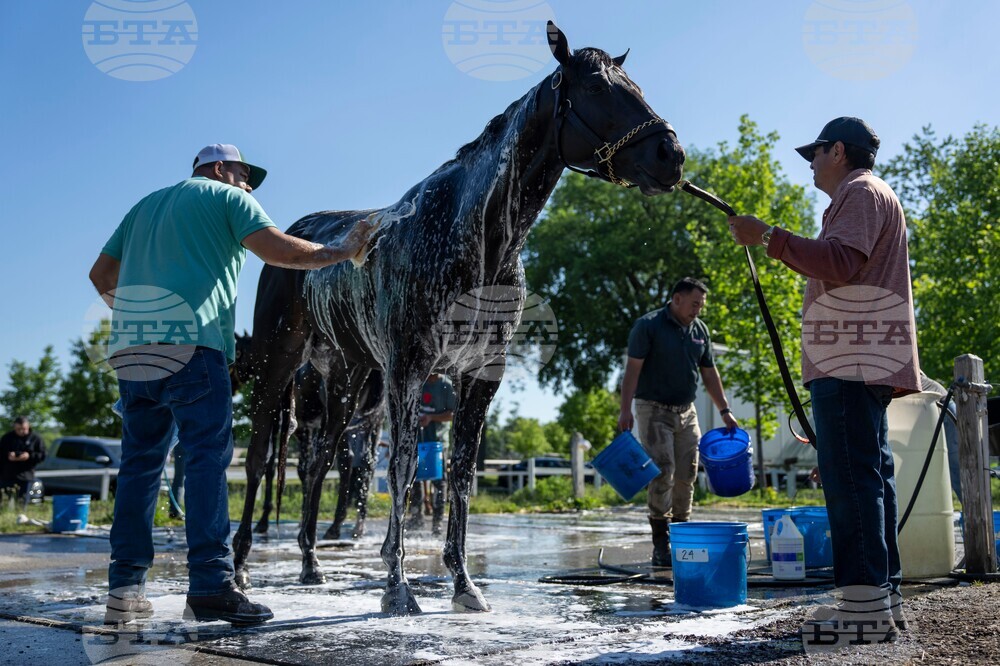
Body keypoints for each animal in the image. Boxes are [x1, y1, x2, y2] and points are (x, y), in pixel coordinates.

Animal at [233, 22, 685, 615]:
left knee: (317, 465)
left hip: (346, 381)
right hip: (280, 366)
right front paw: (397, 586)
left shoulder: (479, 375)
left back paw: (310, 561)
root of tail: (293, 234)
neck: (476, 232)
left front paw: (464, 582)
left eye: (635, 86)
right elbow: (402, 470)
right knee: (261, 457)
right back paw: (240, 567)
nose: (670, 154)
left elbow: (461, 474)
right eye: (596, 88)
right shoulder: (409, 369)